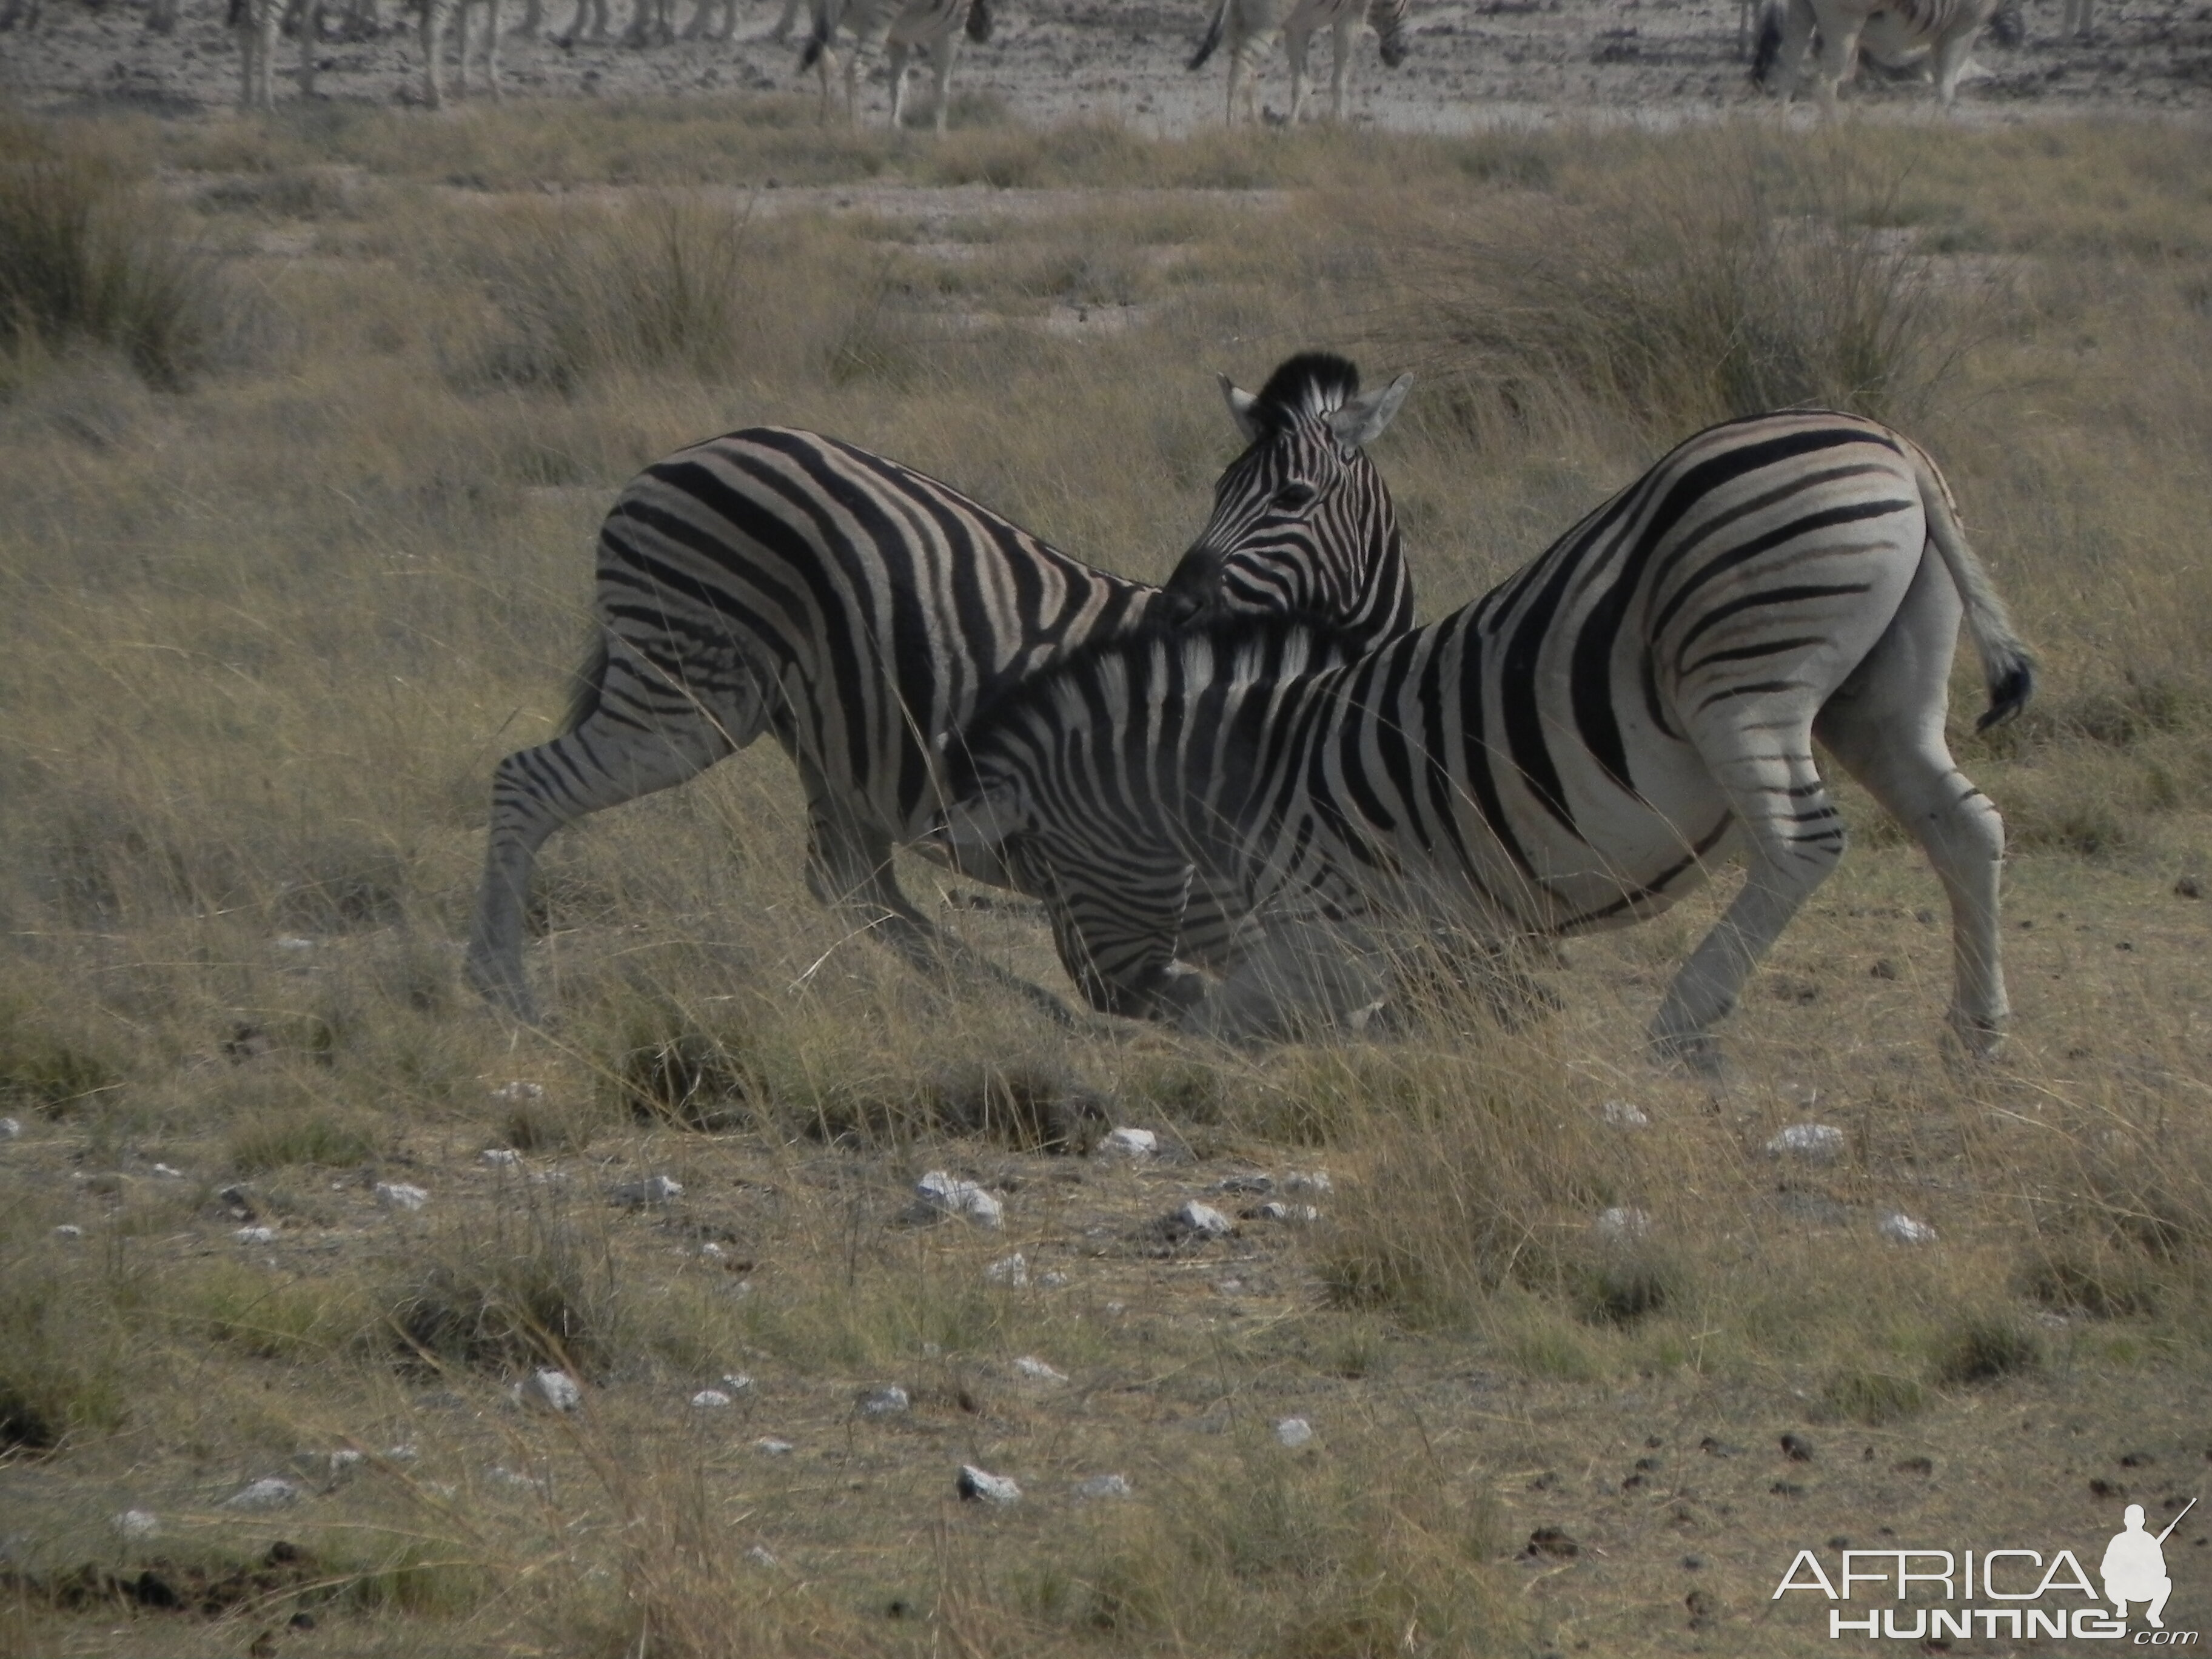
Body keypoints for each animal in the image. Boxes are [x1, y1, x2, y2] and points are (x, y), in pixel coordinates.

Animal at [471, 352, 1415, 1026]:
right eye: (1217, 488)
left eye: (1292, 495)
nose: (1181, 604)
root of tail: (681, 454)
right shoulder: (1182, 882)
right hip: (690, 694)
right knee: (527, 780)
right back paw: (503, 991)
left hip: (827, 736)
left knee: (849, 886)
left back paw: (1012, 1006)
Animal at [933, 411, 2026, 1070]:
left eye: (1043, 873)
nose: (1104, 999)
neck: (1246, 772)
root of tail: (1890, 441)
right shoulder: (1446, 938)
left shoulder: (1337, 933)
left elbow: (1231, 1022)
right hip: (1875, 695)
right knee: (1964, 825)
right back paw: (1973, 1033)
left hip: (1741, 677)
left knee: (1802, 844)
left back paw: (1684, 1017)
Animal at [1185, 0, 1407, 126]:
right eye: (1406, 9)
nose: (1401, 57)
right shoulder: (1351, 18)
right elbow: (1340, 76)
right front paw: (1338, 120)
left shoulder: (1298, 28)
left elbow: (1302, 81)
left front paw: (1303, 121)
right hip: (1264, 26)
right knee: (1239, 69)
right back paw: (1232, 126)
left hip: (1237, 26)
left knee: (1247, 72)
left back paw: (1255, 122)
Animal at [1760, 0, 2008, 106]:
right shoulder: (1964, 28)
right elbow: (1946, 90)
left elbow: (1941, 87)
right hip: (1845, 24)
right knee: (1825, 85)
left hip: (1801, 15)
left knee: (1786, 79)